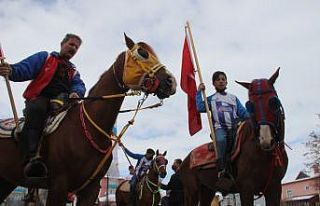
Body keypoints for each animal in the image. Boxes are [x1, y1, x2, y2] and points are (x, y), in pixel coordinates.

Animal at [180, 68, 288, 205]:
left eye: (274, 101)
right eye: (250, 105)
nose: (266, 140)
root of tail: (186, 160)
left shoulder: (274, 187)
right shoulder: (246, 188)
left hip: (207, 191)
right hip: (191, 191)